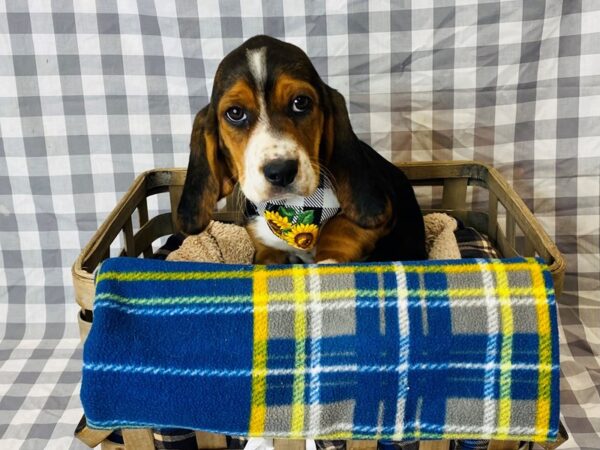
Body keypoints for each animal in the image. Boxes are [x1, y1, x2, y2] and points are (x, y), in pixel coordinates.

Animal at [177, 37, 426, 266]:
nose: (281, 172)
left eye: (301, 102)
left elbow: (341, 225)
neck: (292, 207)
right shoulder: (264, 247)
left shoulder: (387, 211)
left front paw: (328, 258)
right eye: (235, 113)